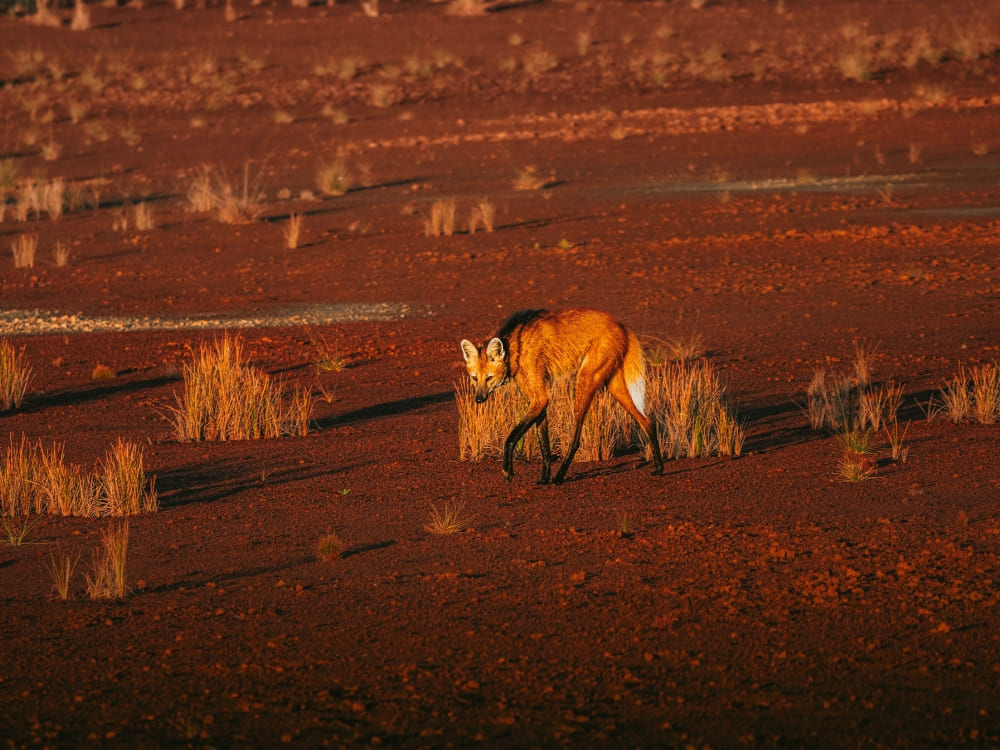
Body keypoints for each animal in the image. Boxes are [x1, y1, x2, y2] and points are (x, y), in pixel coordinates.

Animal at [460, 308, 664, 484]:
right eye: (474, 378)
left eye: (489, 378)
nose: (478, 399)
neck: (514, 348)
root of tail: (621, 325)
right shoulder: (538, 399)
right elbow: (544, 443)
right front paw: (544, 478)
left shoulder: (541, 397)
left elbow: (510, 438)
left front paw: (508, 472)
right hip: (613, 384)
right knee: (646, 421)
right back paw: (659, 468)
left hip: (584, 379)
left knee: (576, 440)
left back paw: (560, 476)